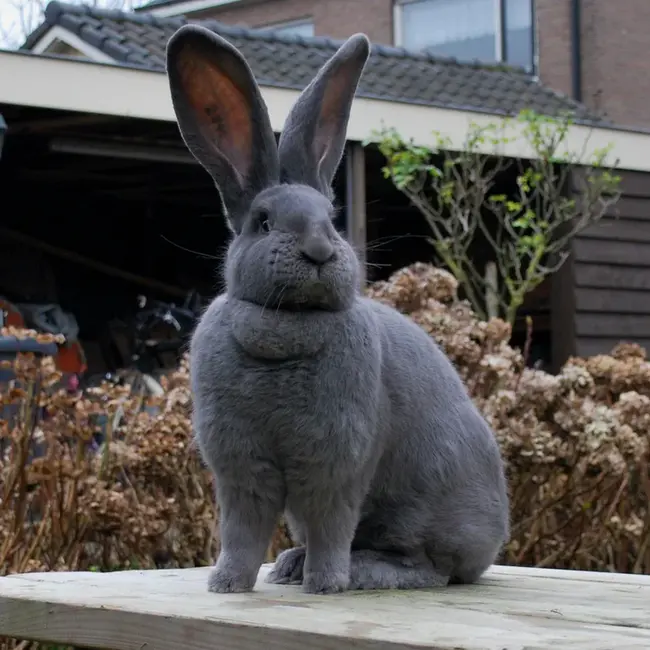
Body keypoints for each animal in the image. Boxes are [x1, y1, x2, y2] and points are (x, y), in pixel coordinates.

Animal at [165, 24, 508, 592]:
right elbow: (242, 530)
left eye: (330, 217)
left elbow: (332, 520)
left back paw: (359, 572)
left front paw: (325, 584)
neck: (288, 323)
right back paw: (290, 564)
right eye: (262, 221)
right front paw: (227, 584)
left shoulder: (335, 461)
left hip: (426, 503)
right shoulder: (240, 467)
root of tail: (492, 541)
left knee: (431, 568)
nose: (321, 250)